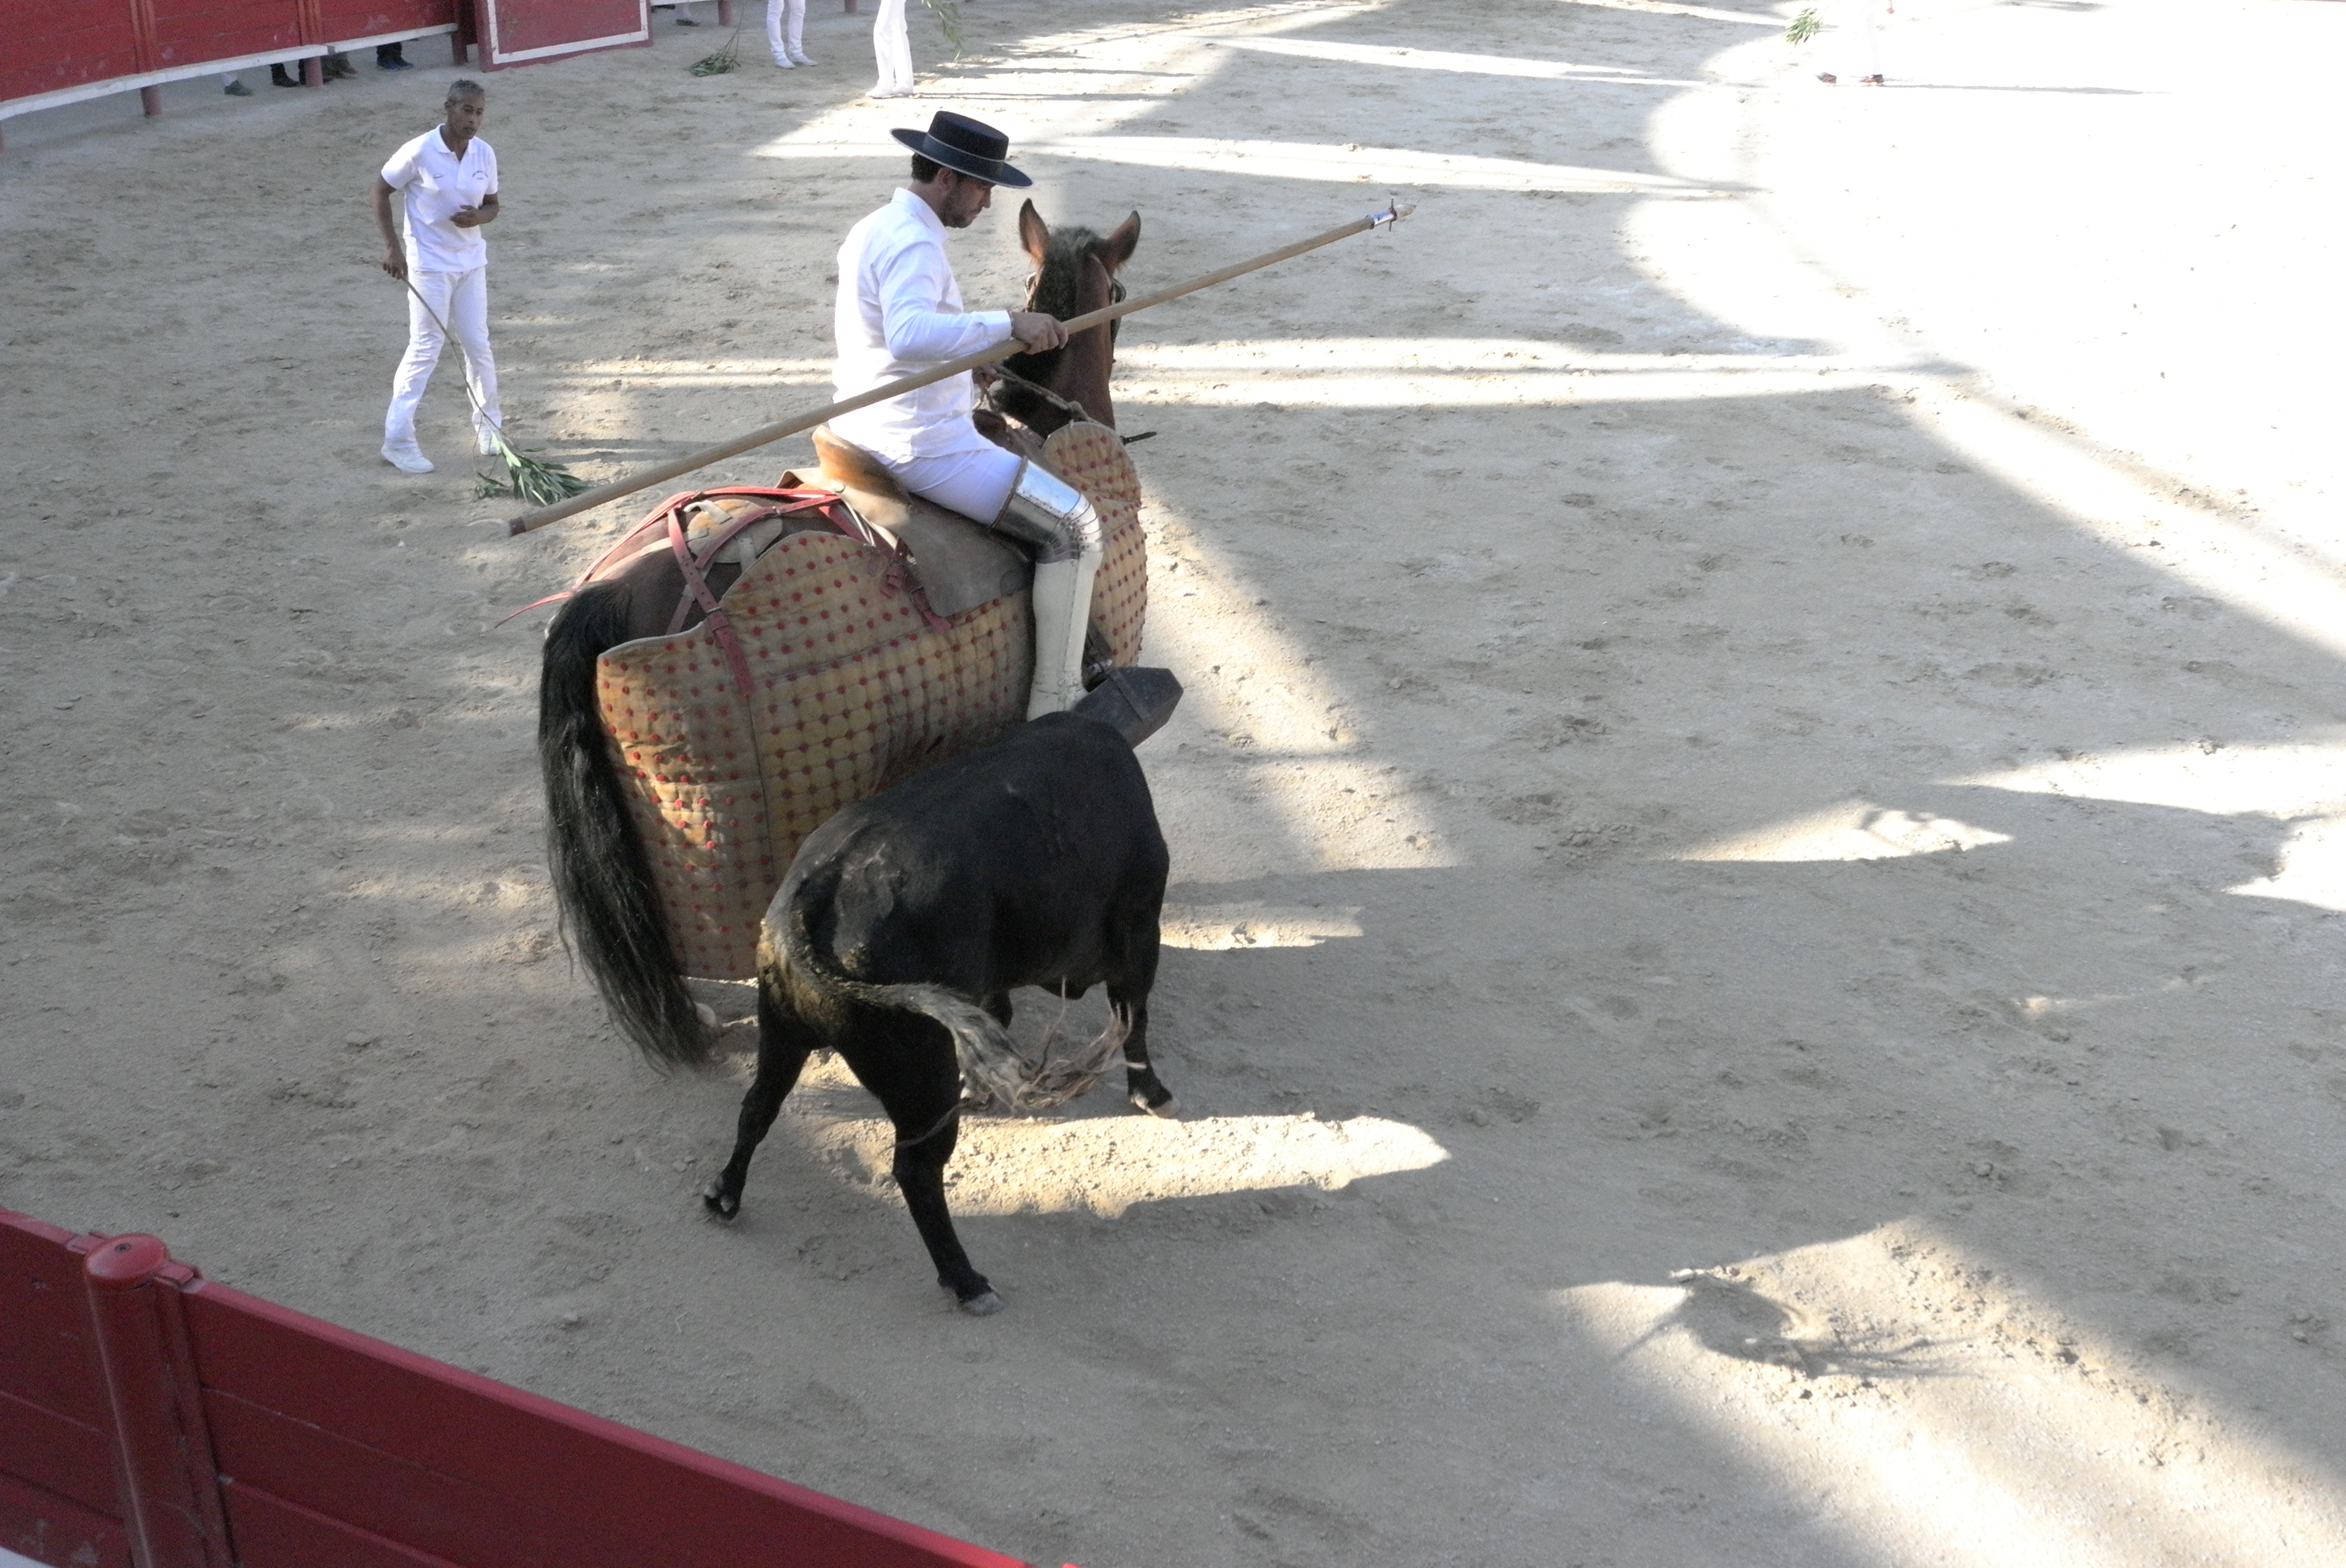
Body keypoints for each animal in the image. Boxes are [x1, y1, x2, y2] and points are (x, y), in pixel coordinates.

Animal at [694, 708, 1173, 1312]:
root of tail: (814, 895)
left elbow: (1002, 1014)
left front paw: (983, 1088)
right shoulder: (1140, 927)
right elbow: (1133, 1015)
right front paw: (1151, 1093)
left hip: (782, 1029)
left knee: (758, 1106)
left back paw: (724, 1196)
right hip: (919, 1075)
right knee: (916, 1171)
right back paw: (966, 1281)